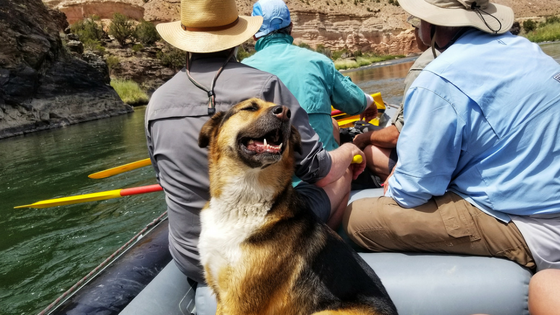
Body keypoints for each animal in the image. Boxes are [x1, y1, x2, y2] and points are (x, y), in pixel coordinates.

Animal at [199, 99, 396, 315]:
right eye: (250, 107)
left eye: (285, 111)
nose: (285, 112)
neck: (242, 202)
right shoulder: (223, 295)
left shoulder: (239, 302)